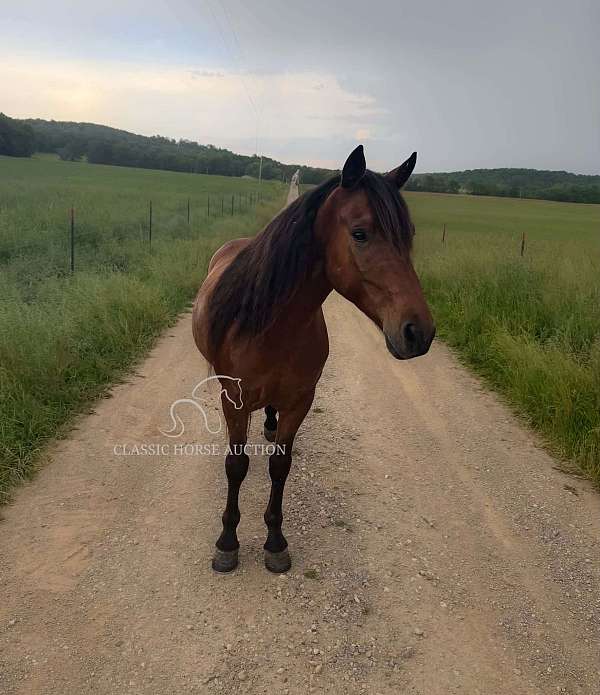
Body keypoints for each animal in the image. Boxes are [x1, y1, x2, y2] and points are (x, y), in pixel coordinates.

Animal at [192, 145, 435, 573]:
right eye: (360, 233)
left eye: (409, 236)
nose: (418, 333)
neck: (269, 325)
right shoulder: (233, 401)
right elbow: (236, 466)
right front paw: (227, 542)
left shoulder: (300, 401)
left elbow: (280, 466)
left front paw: (275, 541)